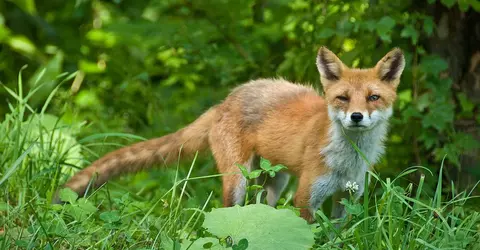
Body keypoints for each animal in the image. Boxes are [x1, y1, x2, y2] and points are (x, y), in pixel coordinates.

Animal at [58, 47, 406, 223]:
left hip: (275, 180)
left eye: (373, 98)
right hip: (238, 179)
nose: (356, 117)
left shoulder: (348, 197)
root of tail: (225, 101)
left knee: (262, 208)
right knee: (228, 212)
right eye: (343, 98)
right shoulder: (306, 198)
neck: (346, 161)